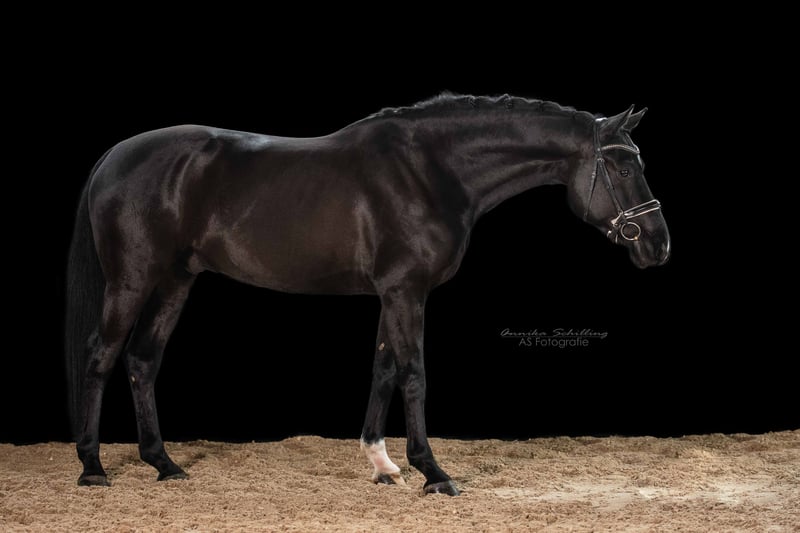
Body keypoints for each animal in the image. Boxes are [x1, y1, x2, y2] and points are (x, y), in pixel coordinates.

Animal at [65, 93, 670, 496]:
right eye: (622, 166)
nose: (658, 244)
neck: (430, 169)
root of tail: (113, 157)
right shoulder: (407, 290)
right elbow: (414, 374)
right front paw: (434, 473)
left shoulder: (392, 291)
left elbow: (383, 370)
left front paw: (382, 465)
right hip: (133, 278)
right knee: (100, 356)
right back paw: (93, 468)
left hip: (176, 279)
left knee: (142, 360)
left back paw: (164, 464)